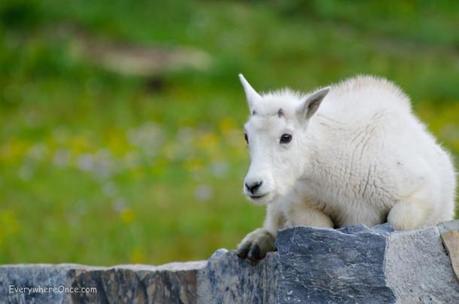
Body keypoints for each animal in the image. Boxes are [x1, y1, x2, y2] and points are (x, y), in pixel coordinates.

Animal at [237, 73, 456, 262]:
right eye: (246, 136)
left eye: (286, 137)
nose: (253, 185)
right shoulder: (297, 200)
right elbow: (316, 225)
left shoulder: (422, 192)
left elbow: (399, 220)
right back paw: (255, 244)